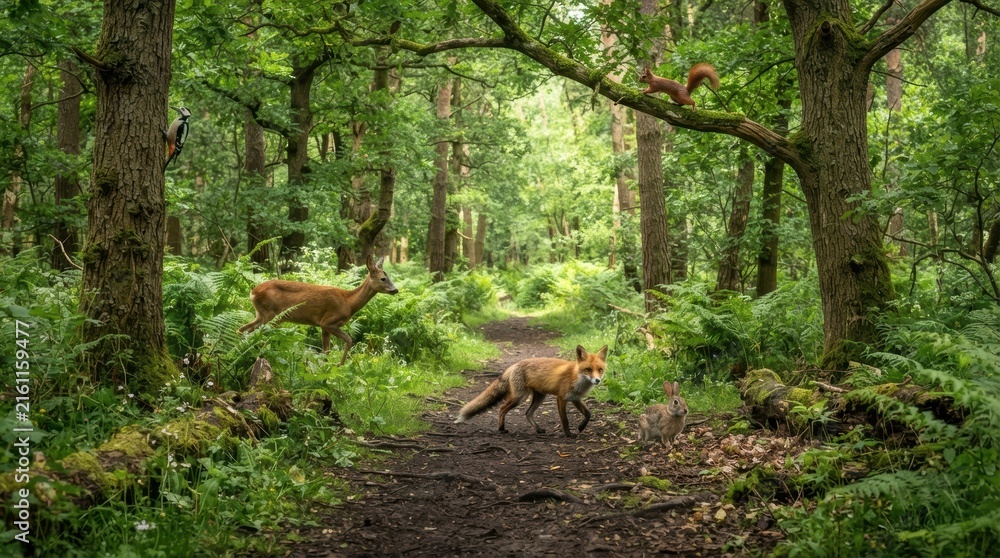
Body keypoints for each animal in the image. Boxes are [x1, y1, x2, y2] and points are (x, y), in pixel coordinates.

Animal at [238, 255, 399, 366]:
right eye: (383, 278)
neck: (348, 302)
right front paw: (339, 365)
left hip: (261, 314)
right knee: (259, 334)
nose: (395, 290)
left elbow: (326, 350)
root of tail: (252, 292)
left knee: (243, 329)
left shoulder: (323, 326)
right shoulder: (328, 322)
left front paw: (325, 369)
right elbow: (349, 340)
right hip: (271, 314)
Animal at [454, 345, 609, 437]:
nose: (597, 380)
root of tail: (514, 365)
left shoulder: (575, 398)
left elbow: (588, 413)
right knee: (502, 408)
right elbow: (565, 420)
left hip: (540, 397)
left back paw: (538, 430)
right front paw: (568, 434)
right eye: (588, 369)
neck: (577, 377)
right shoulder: (561, 398)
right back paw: (501, 428)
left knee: (527, 413)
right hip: (520, 397)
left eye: (600, 370)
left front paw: (581, 427)